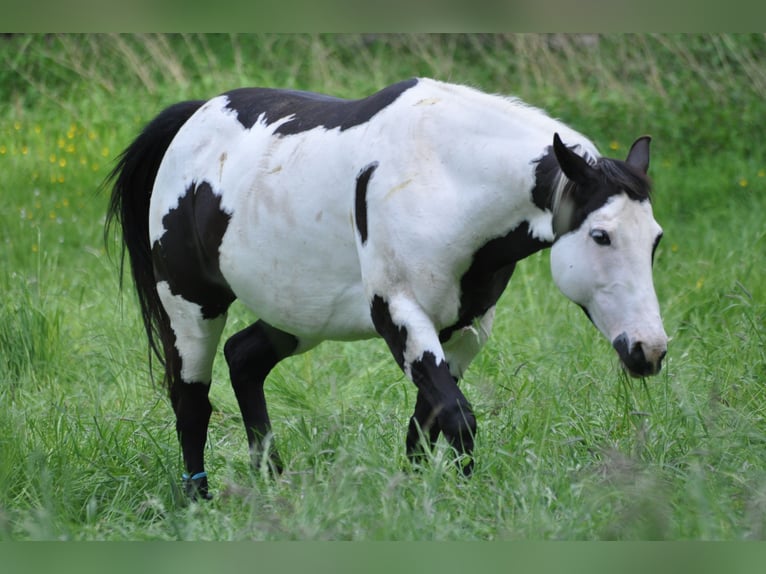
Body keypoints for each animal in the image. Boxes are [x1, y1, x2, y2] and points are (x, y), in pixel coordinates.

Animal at [105, 77, 668, 500]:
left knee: (243, 359)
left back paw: (273, 481)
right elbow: (458, 419)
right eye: (601, 235)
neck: (446, 174)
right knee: (191, 400)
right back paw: (198, 499)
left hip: (300, 315)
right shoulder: (398, 313)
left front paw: (413, 497)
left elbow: (428, 422)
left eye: (656, 240)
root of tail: (194, 117)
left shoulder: (464, 329)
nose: (649, 350)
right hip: (191, 307)